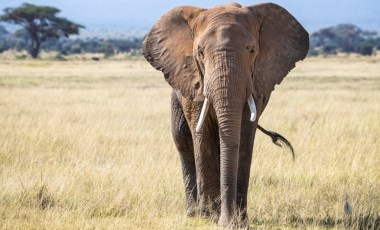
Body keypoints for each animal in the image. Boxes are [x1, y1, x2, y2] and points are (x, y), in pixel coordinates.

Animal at [142, 1, 308, 227]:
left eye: (252, 50)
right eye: (200, 53)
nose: (228, 222)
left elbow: (244, 135)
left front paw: (239, 221)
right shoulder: (195, 79)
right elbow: (201, 134)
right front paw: (209, 218)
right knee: (182, 140)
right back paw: (194, 213)